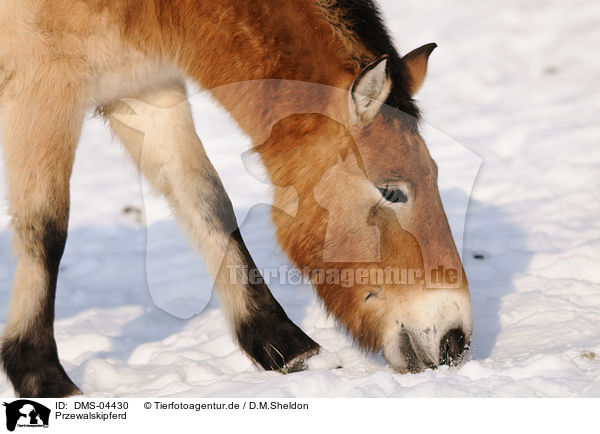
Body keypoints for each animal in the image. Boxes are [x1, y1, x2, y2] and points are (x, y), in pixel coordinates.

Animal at [0, 0, 474, 396]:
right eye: (392, 191)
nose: (455, 340)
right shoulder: (42, 90)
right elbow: (46, 230)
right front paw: (41, 376)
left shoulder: (144, 89)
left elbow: (208, 203)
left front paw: (286, 346)